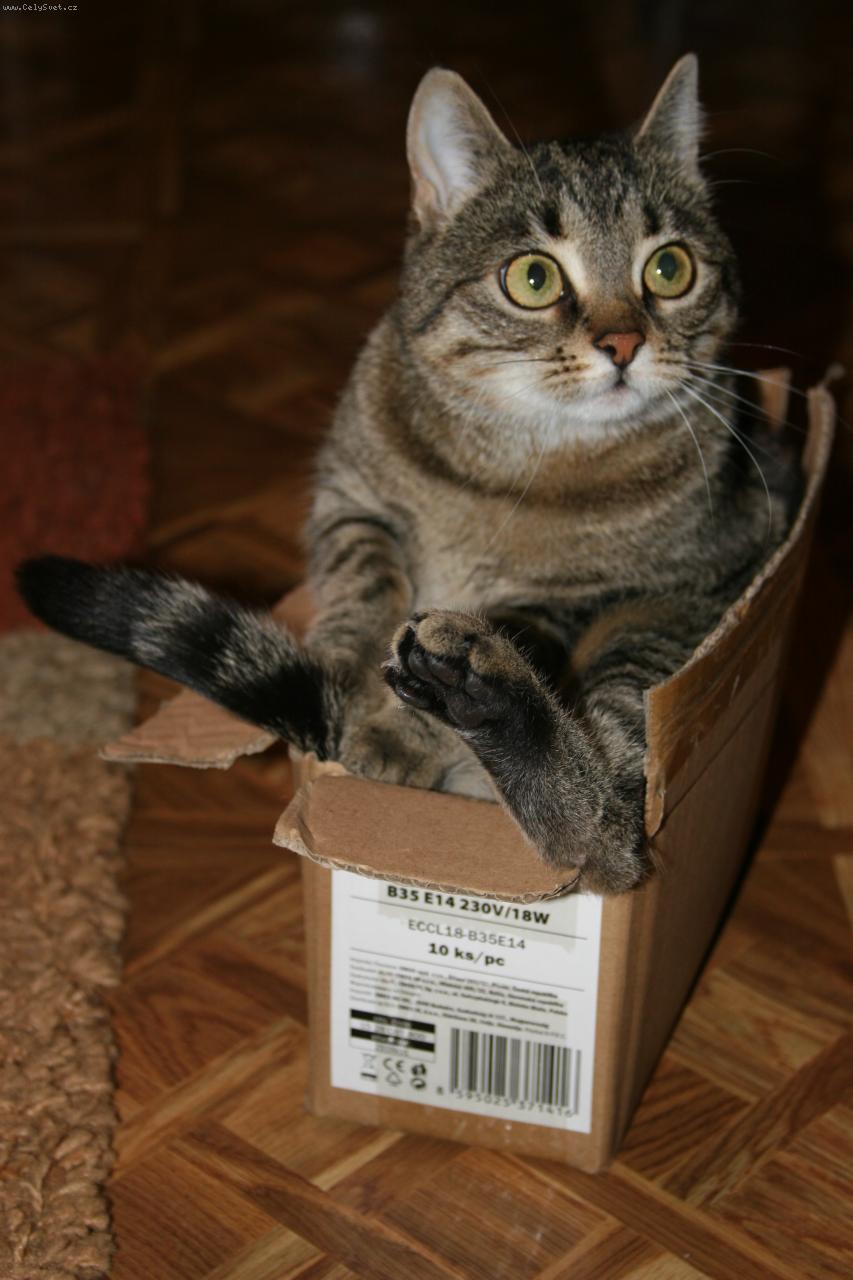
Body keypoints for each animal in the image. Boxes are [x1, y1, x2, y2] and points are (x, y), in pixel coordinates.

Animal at [18, 55, 800, 894]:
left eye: (669, 267)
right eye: (532, 278)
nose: (623, 343)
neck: (518, 456)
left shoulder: (580, 599)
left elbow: (520, 643)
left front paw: (397, 731)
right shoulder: (350, 498)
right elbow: (364, 579)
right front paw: (342, 670)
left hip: (657, 637)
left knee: (608, 833)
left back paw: (473, 689)